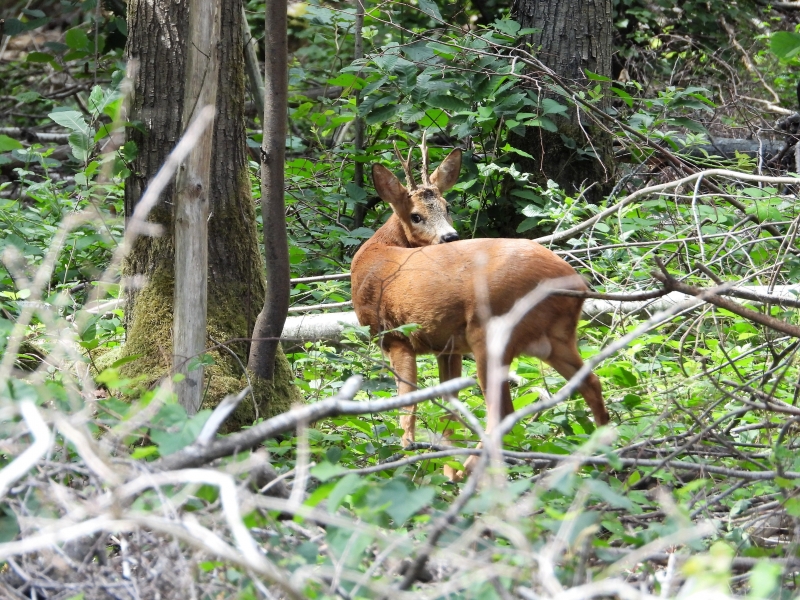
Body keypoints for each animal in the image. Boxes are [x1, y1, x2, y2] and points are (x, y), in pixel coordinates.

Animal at [350, 138, 608, 476]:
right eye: (416, 215)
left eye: (447, 207)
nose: (450, 236)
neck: (375, 254)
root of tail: (575, 283)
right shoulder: (446, 346)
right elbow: (449, 405)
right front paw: (443, 462)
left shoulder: (395, 335)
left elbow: (408, 405)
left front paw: (408, 457)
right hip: (556, 337)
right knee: (591, 382)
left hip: (491, 332)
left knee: (502, 410)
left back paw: (468, 470)